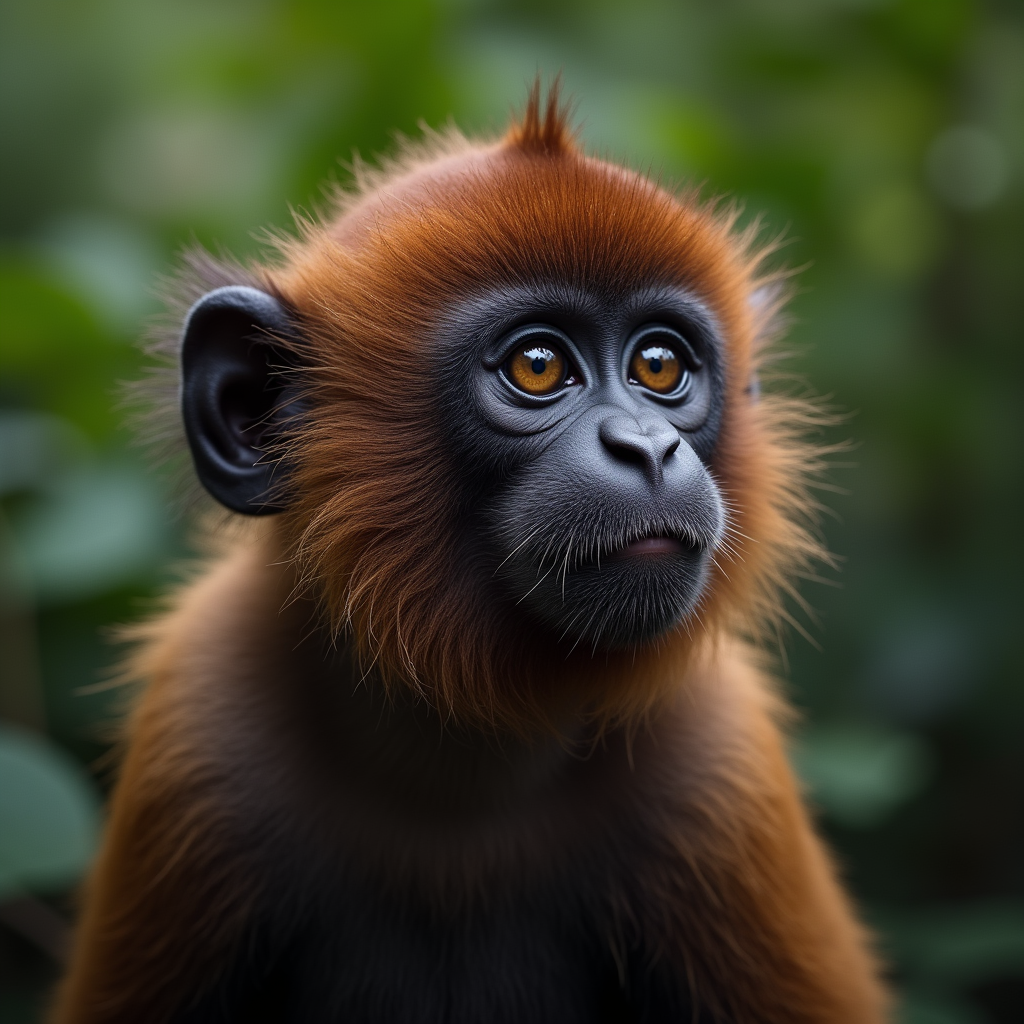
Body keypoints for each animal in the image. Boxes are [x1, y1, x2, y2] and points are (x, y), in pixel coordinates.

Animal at [51, 85, 889, 1023]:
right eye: (538, 367)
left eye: (658, 366)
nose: (648, 447)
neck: (458, 761)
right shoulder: (200, 720)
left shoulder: (718, 759)